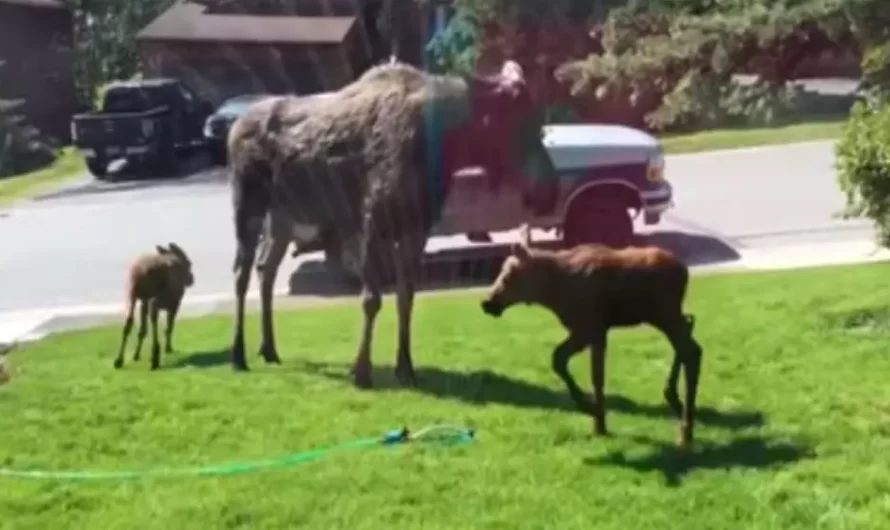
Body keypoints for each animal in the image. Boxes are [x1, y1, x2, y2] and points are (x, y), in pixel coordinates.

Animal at [113, 241, 193, 370]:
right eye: (190, 264)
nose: (191, 280)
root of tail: (143, 271)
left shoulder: (143, 301)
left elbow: (142, 330)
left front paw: (136, 355)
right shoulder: (175, 303)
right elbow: (169, 327)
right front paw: (168, 348)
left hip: (132, 293)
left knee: (129, 320)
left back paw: (119, 360)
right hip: (160, 296)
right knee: (153, 311)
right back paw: (155, 356)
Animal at [225, 59, 536, 386]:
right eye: (518, 118)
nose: (543, 189)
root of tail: (233, 128)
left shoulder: (415, 229)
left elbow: (405, 298)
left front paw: (405, 367)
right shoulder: (372, 222)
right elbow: (371, 299)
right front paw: (361, 370)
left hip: (281, 217)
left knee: (266, 269)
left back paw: (269, 348)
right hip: (248, 205)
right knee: (241, 272)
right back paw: (238, 355)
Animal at [478, 224, 700, 446]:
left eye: (509, 275)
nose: (488, 303)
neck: (553, 291)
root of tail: (684, 271)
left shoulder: (589, 327)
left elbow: (577, 367)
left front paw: (593, 413)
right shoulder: (592, 331)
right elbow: (578, 367)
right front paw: (598, 424)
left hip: (664, 313)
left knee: (692, 350)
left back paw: (685, 430)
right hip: (665, 315)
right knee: (689, 329)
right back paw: (675, 403)